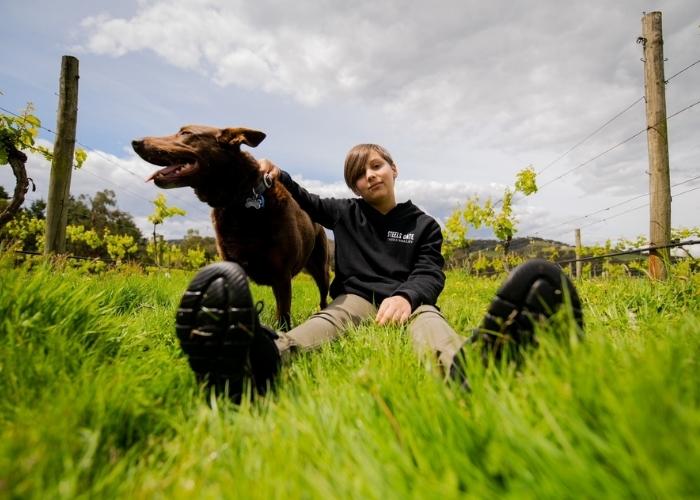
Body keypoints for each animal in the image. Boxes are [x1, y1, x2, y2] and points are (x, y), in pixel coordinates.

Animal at [134, 124, 330, 328]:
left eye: (186, 133)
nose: (135, 142)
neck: (239, 201)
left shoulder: (282, 276)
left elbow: (283, 318)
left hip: (320, 268)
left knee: (324, 296)